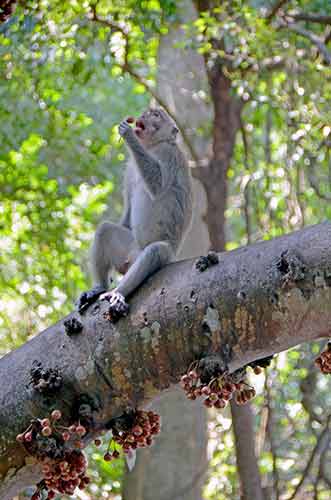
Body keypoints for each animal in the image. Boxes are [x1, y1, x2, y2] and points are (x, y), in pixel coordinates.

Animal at [77, 107, 192, 318]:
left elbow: (157, 185)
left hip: (165, 256)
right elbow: (128, 211)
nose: (144, 114)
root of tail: (133, 259)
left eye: (156, 115)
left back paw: (118, 292)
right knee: (105, 230)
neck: (152, 147)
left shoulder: (169, 154)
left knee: (155, 252)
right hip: (128, 248)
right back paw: (99, 288)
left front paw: (128, 134)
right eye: (148, 112)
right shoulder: (130, 170)